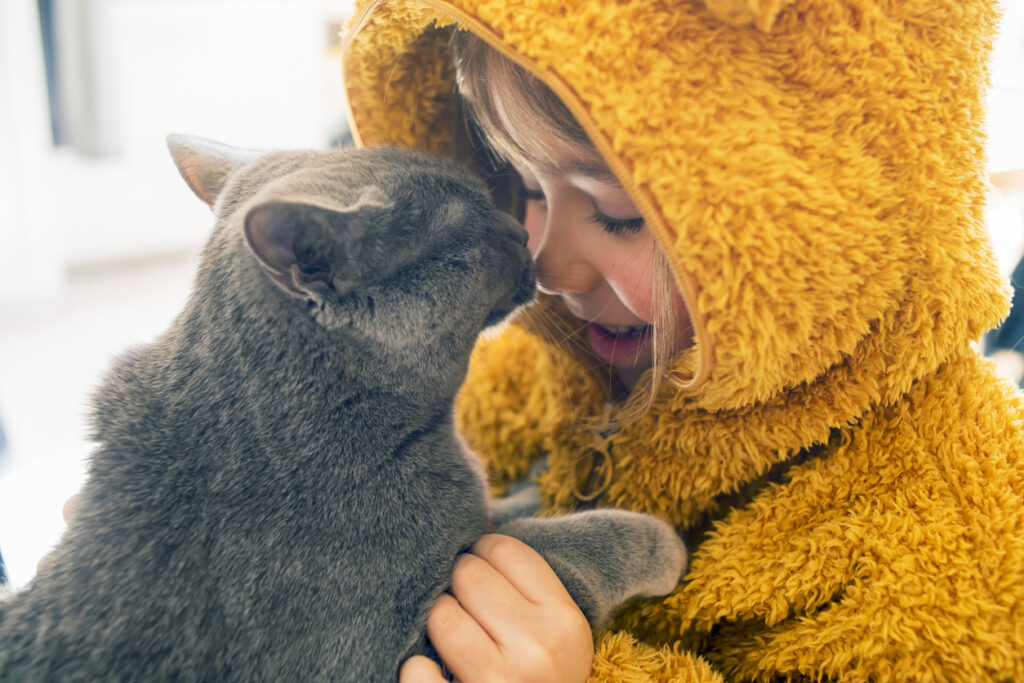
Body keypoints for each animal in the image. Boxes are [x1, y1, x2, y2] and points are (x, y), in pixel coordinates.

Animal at [2, 136, 688, 679]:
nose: (522, 231)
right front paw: (657, 540)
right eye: (468, 227)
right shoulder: (387, 653)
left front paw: (541, 482)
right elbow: (551, 546)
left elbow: (498, 515)